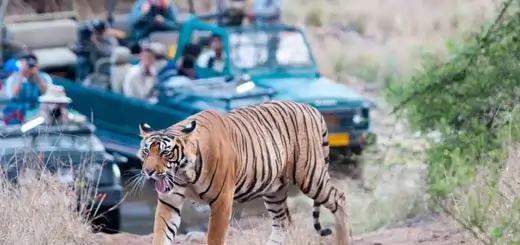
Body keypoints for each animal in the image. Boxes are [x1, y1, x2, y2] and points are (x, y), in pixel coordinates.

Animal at [137, 99, 354, 245]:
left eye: (165, 153)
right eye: (146, 152)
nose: (148, 172)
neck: (184, 174)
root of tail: (312, 108)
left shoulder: (222, 201)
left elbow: (214, 237)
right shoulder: (169, 200)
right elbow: (161, 233)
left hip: (310, 176)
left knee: (340, 199)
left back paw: (344, 238)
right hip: (274, 190)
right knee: (283, 222)